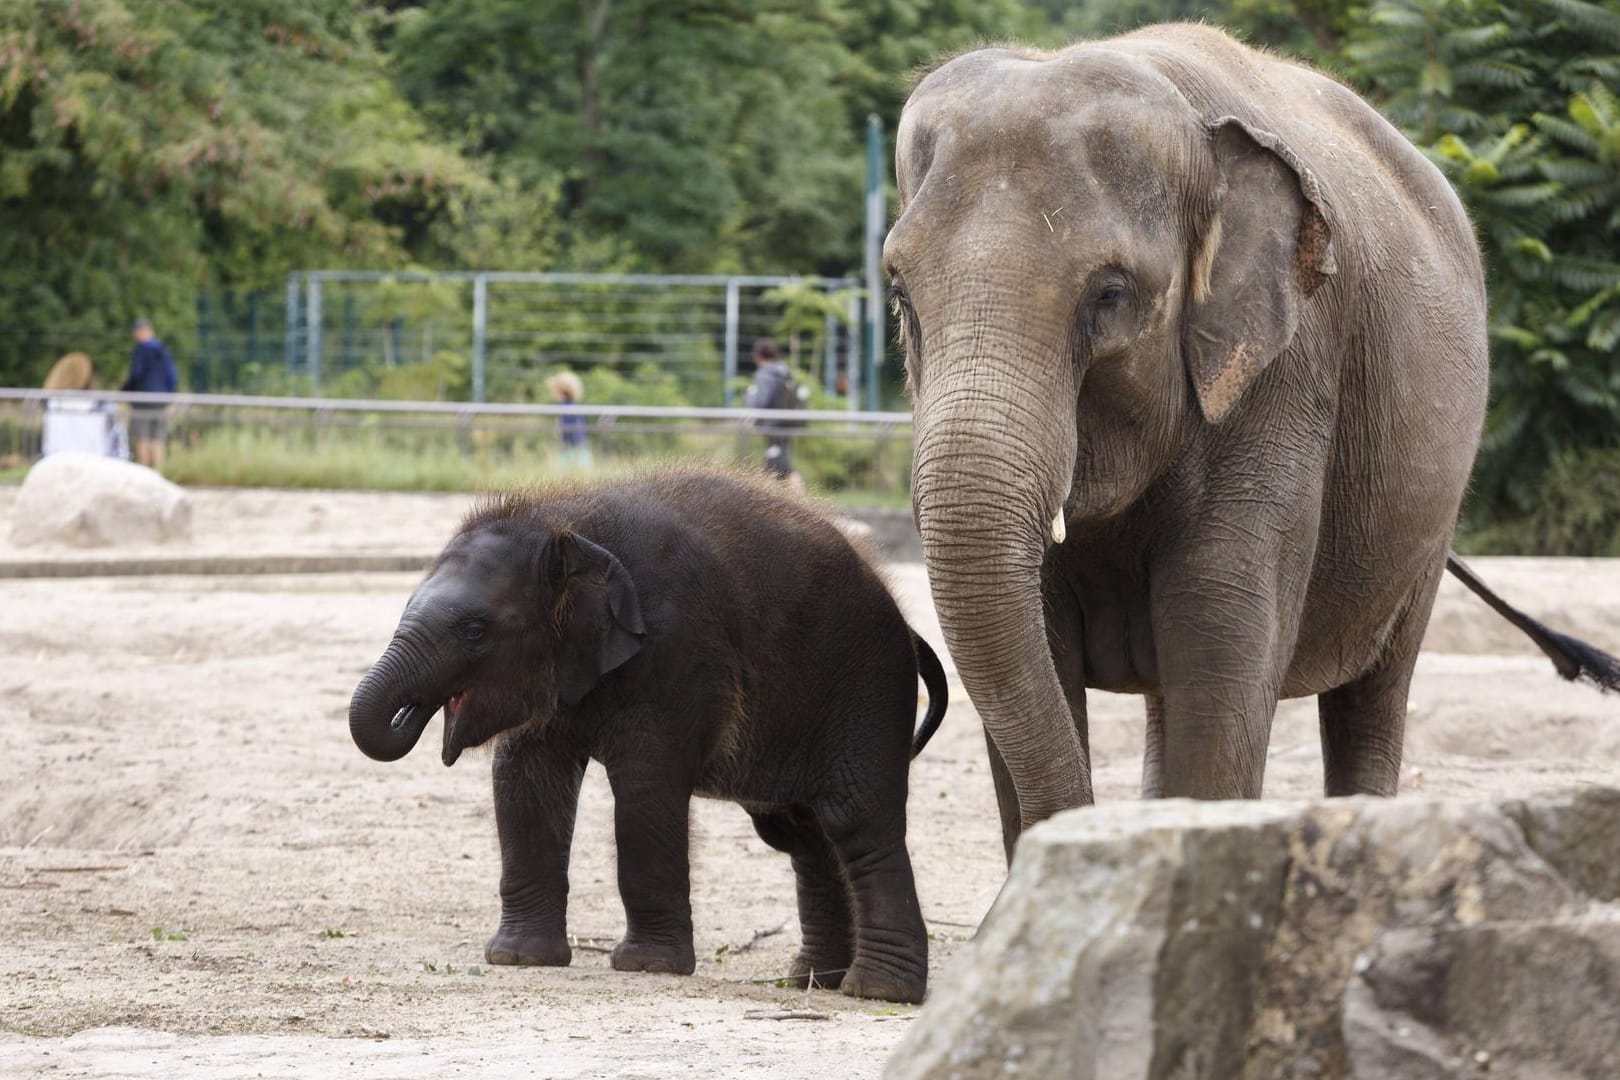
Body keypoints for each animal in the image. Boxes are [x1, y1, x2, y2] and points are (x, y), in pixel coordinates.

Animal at [345, 472, 946, 1003]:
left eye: (474, 631)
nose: (413, 712)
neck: (569, 521)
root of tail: (905, 623)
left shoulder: (676, 652)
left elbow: (645, 789)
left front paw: (646, 967)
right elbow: (524, 785)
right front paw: (518, 959)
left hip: (867, 692)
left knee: (857, 825)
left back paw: (879, 992)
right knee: (803, 837)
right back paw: (811, 982)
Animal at [894, 21, 1613, 854]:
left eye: (1109, 296)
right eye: (899, 294)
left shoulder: (1289, 375)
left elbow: (1220, 653)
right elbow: (1033, 649)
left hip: (1433, 513)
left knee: (1374, 693)